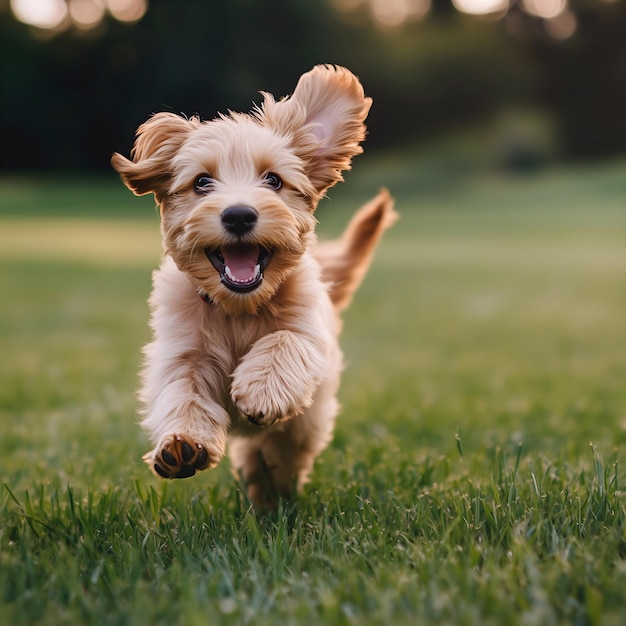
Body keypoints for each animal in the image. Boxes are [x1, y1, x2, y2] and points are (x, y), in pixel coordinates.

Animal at [112, 64, 394, 508]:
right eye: (202, 182)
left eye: (273, 180)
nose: (240, 215)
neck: (237, 308)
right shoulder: (181, 351)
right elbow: (183, 390)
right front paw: (182, 443)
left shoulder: (311, 334)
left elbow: (284, 340)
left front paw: (261, 389)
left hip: (306, 424)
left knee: (280, 454)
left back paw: (272, 494)